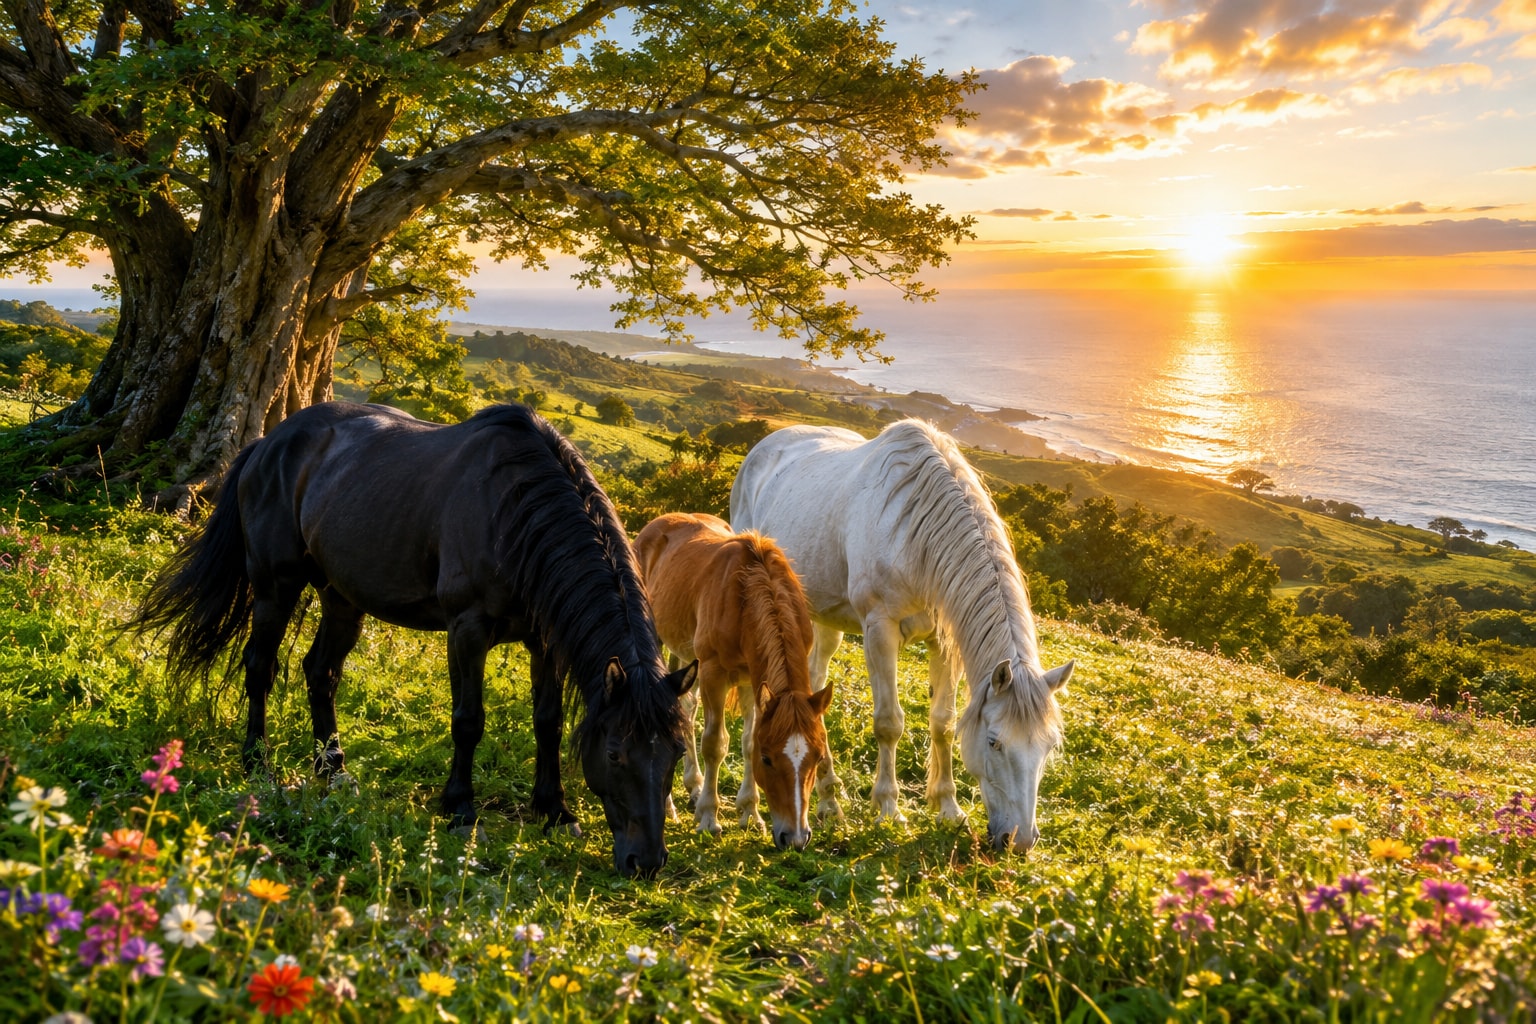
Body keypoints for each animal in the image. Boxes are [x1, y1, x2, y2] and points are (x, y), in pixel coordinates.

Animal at [132, 402, 697, 877]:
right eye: (617, 754)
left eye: (675, 754)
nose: (646, 862)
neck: (513, 510)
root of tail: (268, 443)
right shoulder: (467, 630)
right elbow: (469, 721)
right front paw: (461, 807)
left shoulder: (544, 640)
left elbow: (549, 722)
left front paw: (554, 808)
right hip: (276, 586)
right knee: (260, 666)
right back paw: (258, 763)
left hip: (342, 597)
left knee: (321, 672)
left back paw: (333, 770)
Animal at [634, 513, 832, 851]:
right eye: (768, 760)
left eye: (818, 757)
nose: (795, 838)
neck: (746, 596)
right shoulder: (714, 673)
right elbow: (715, 744)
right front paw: (709, 818)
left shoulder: (751, 680)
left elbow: (748, 739)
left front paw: (750, 812)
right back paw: (672, 804)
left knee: (685, 708)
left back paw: (694, 785)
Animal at [730, 419, 1073, 852]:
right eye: (994, 742)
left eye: (1048, 746)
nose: (1020, 840)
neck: (915, 533)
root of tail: (768, 444)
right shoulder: (880, 630)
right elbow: (889, 722)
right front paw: (889, 809)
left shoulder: (943, 641)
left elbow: (943, 723)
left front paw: (948, 807)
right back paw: (750, 809)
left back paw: (828, 801)